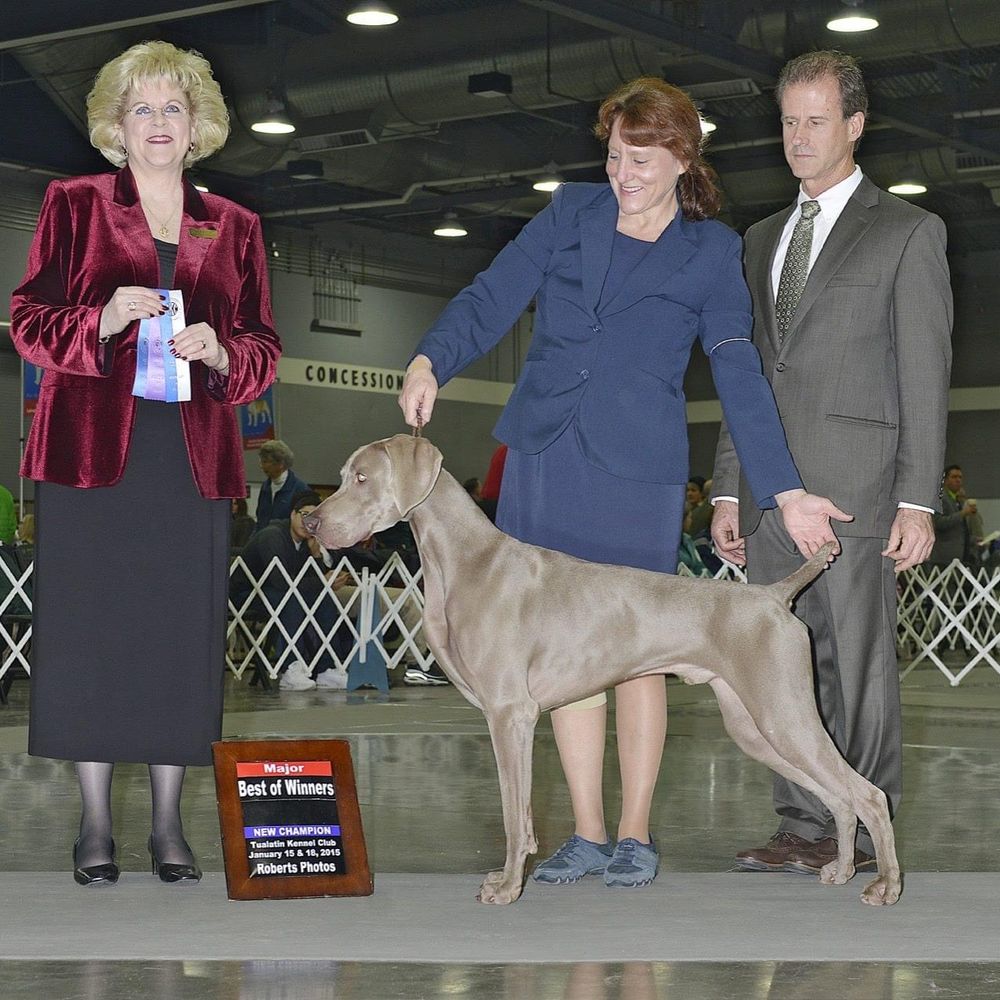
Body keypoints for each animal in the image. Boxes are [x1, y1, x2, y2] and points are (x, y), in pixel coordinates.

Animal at [300, 432, 904, 908]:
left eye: (362, 477)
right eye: (341, 477)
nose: (310, 519)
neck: (468, 562)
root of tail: (775, 596)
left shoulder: (510, 714)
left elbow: (513, 810)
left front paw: (508, 888)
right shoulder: (510, 716)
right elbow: (520, 813)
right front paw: (509, 876)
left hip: (782, 711)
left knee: (868, 794)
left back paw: (885, 886)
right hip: (753, 725)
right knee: (839, 797)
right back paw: (841, 870)